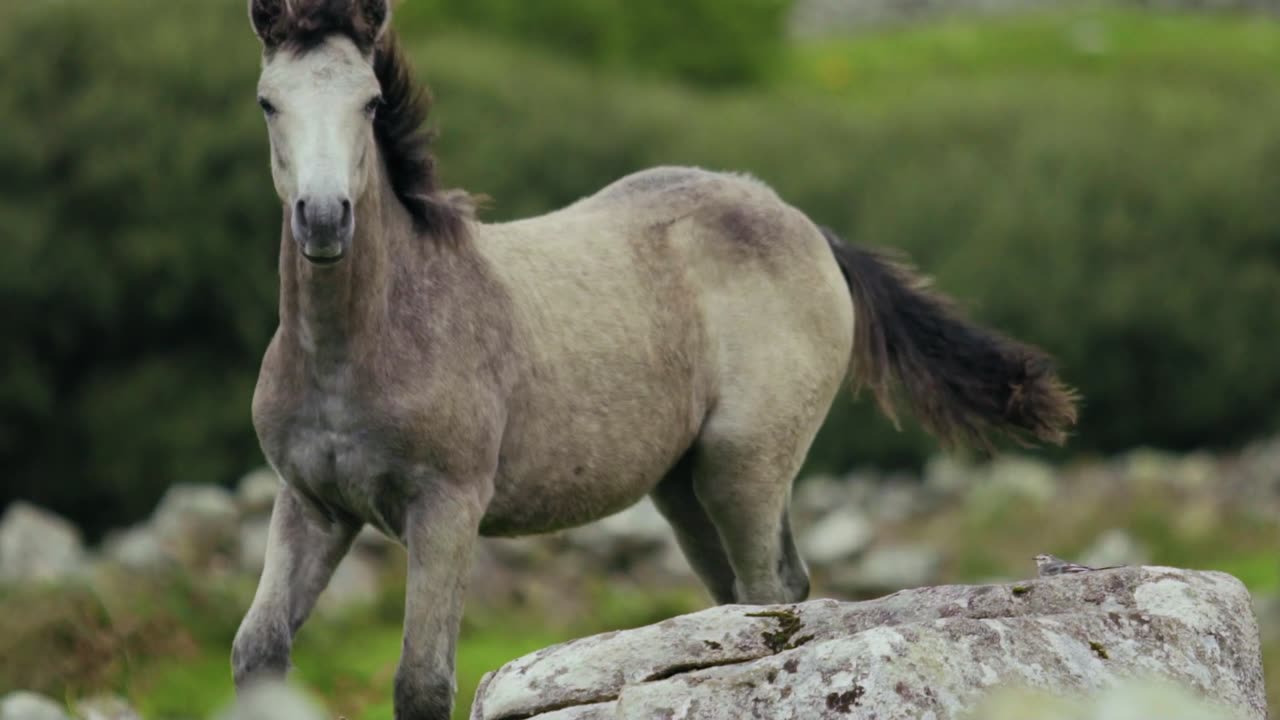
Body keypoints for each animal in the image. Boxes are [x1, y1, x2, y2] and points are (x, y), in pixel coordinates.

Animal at [232, 2, 1080, 712]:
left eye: (371, 102)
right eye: (268, 101)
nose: (323, 219)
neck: (360, 346)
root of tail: (805, 225)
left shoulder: (446, 507)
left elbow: (421, 681)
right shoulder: (312, 506)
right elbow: (257, 650)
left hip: (744, 467)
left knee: (773, 594)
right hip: (685, 488)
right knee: (748, 596)